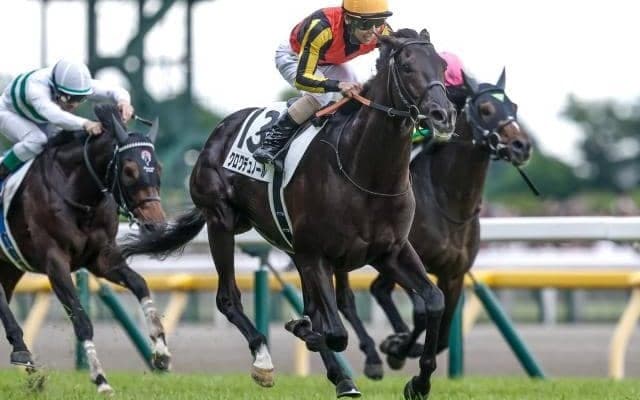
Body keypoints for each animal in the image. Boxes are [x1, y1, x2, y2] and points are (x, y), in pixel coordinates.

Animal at [0, 104, 171, 394]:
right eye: (129, 170)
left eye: (157, 167)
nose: (156, 225)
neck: (78, 193)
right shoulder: (55, 261)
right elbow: (81, 321)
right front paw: (100, 379)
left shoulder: (101, 258)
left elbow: (140, 284)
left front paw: (161, 351)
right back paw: (24, 355)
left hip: (10, 268)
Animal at [120, 28, 456, 399]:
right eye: (408, 67)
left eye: (442, 66)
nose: (444, 115)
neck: (364, 171)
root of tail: (218, 132)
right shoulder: (317, 255)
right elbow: (334, 331)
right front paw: (304, 330)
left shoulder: (389, 251)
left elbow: (433, 301)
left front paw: (418, 380)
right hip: (222, 222)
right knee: (228, 299)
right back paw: (265, 361)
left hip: (289, 246)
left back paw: (342, 378)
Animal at [333, 69, 533, 378]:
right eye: (486, 109)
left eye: (514, 106)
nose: (521, 146)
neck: (448, 200)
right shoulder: (406, 259)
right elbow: (420, 313)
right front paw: (396, 349)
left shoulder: (454, 274)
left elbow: (442, 336)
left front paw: (402, 345)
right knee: (348, 299)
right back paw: (373, 356)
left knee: (378, 291)